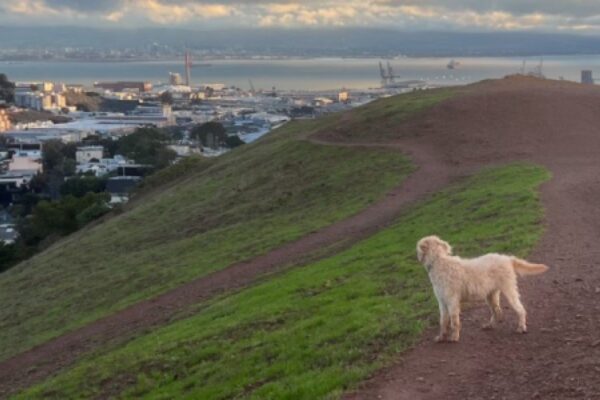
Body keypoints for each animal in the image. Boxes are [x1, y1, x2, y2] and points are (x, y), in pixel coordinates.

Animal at [418, 236, 548, 342]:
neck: (438, 261)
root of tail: (507, 258)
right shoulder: (442, 302)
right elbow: (443, 320)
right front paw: (441, 337)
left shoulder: (452, 301)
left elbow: (454, 320)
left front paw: (454, 337)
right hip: (491, 295)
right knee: (497, 311)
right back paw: (490, 325)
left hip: (509, 290)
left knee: (520, 309)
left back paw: (521, 327)